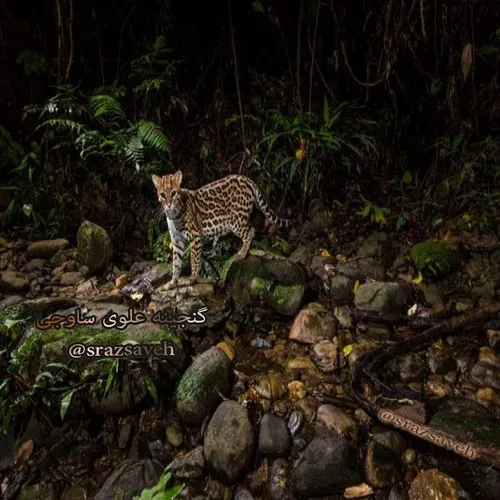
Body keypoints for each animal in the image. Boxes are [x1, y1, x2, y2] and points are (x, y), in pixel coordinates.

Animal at [152, 172, 292, 290]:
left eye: (173, 193)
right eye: (163, 194)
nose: (168, 204)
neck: (173, 215)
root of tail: (249, 180)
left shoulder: (195, 237)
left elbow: (194, 260)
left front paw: (192, 279)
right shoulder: (177, 241)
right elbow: (176, 263)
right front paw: (172, 282)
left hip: (237, 220)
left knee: (250, 231)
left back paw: (241, 253)